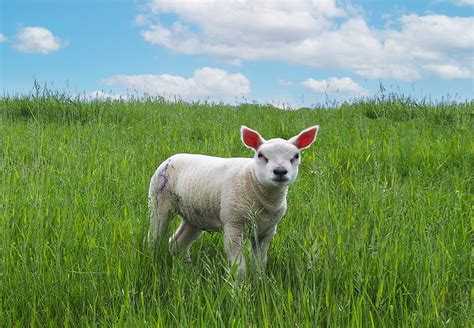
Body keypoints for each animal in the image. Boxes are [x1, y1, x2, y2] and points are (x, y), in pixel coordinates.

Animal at [146, 125, 320, 276]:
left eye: (296, 156)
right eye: (260, 155)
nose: (280, 171)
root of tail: (172, 157)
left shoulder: (267, 230)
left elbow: (259, 264)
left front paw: (258, 285)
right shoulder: (233, 224)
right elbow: (239, 266)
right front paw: (240, 289)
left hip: (195, 216)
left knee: (177, 242)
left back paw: (186, 268)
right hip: (158, 202)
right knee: (154, 237)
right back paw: (153, 260)